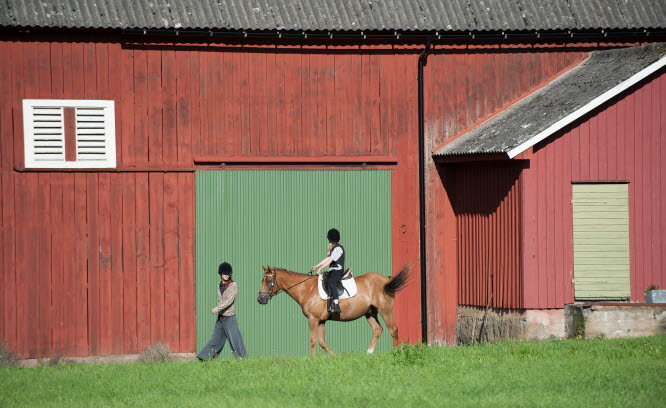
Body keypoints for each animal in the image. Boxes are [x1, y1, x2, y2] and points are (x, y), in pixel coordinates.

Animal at [256, 264, 408, 354]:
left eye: (268, 281)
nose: (260, 299)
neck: (305, 289)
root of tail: (386, 279)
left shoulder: (313, 319)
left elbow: (313, 340)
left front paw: (312, 360)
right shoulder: (322, 320)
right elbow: (322, 342)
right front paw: (335, 357)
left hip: (385, 310)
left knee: (393, 330)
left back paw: (396, 352)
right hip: (370, 312)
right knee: (377, 329)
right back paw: (369, 352)